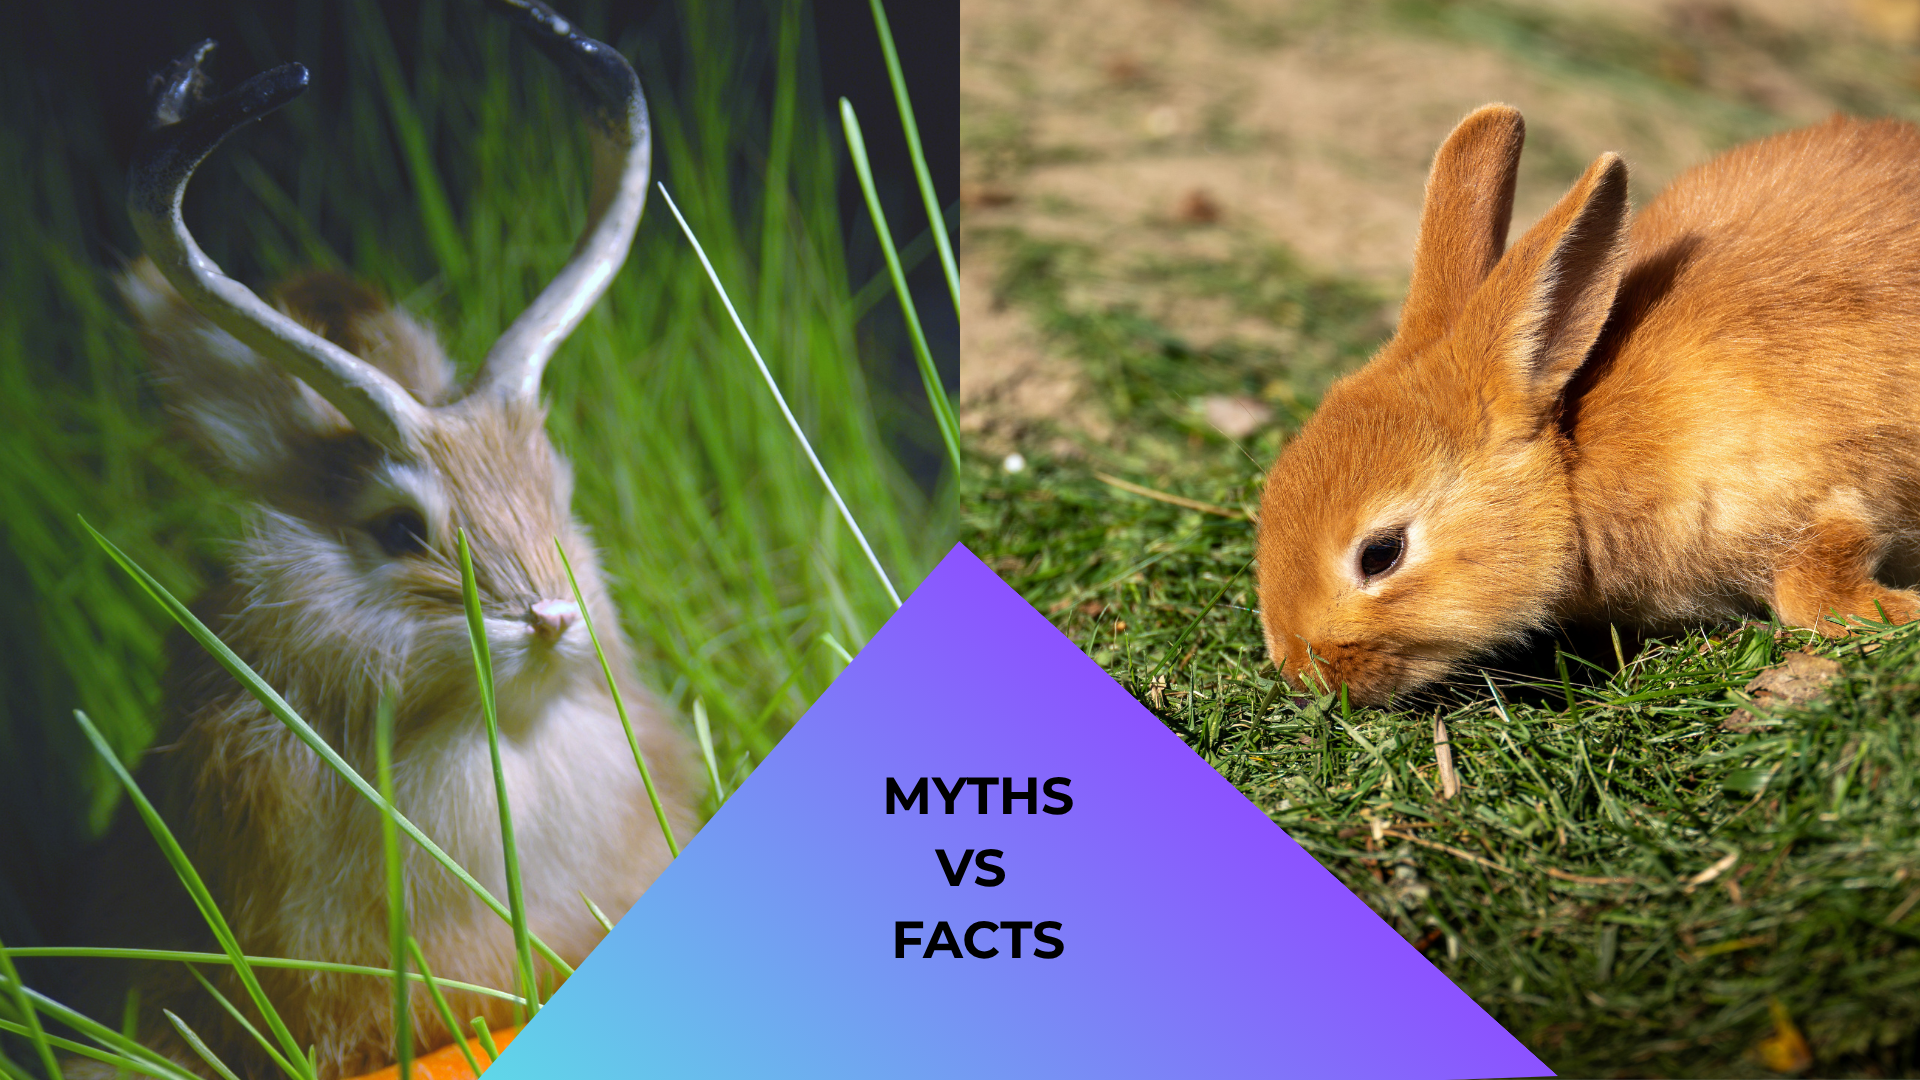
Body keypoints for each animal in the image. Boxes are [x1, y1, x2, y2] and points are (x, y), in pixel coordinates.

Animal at [1256, 103, 1920, 706]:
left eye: (1380, 554)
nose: (1302, 675)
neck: (1575, 469)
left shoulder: (1815, 500)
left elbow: (1815, 591)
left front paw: (1901, 610)